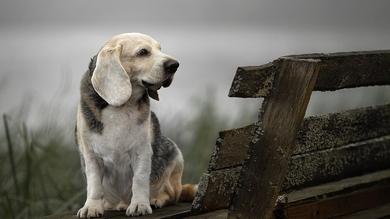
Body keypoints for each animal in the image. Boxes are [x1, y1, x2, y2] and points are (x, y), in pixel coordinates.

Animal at [74, 33, 197, 217]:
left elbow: (139, 180)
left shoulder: (142, 152)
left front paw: (139, 205)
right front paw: (92, 207)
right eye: (143, 52)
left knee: (171, 195)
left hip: (175, 156)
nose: (174, 65)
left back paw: (155, 199)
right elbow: (94, 185)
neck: (122, 106)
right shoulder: (91, 157)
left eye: (160, 49)